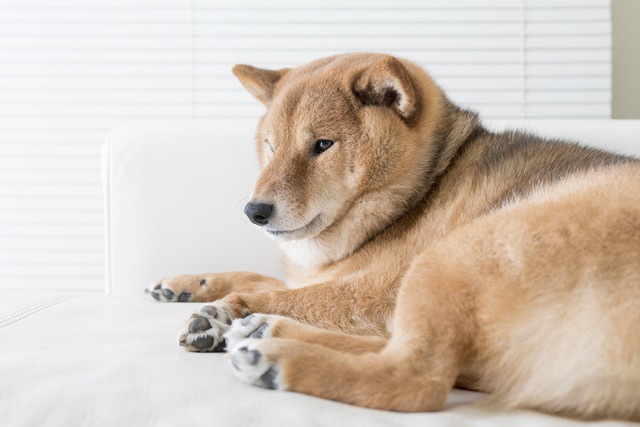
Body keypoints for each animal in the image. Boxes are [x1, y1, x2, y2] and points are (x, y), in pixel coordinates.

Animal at [148, 53, 640, 422]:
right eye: (270, 145)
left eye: (322, 145)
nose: (254, 211)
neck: (424, 188)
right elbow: (256, 276)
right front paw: (188, 284)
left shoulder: (371, 292)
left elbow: (283, 293)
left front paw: (226, 311)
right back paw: (265, 331)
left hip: (454, 254)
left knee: (415, 378)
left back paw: (275, 354)